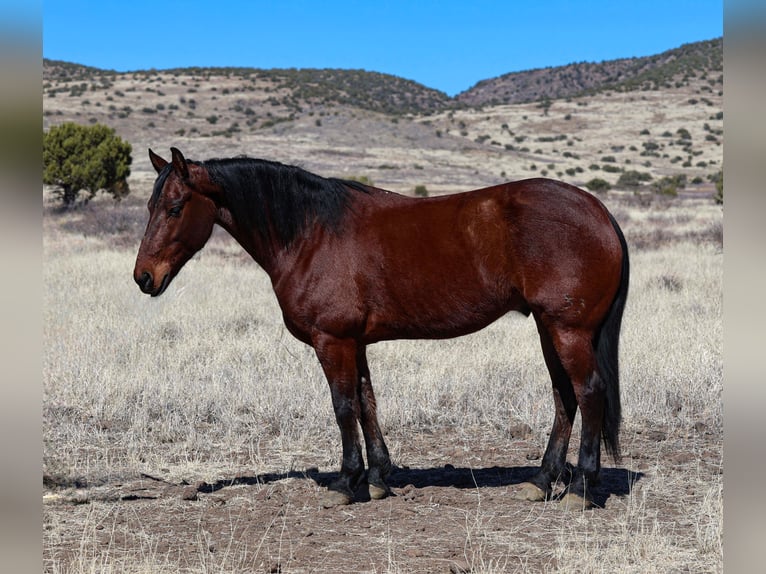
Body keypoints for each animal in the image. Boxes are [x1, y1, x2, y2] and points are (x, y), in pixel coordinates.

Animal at [135, 148, 632, 512]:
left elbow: (342, 407)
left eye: (175, 208)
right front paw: (377, 477)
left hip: (568, 331)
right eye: (150, 206)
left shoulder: (332, 341)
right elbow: (366, 403)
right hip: (551, 330)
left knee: (588, 393)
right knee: (565, 398)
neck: (312, 233)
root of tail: (598, 210)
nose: (144, 278)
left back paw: (581, 489)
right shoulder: (355, 343)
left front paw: (345, 482)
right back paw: (542, 482)